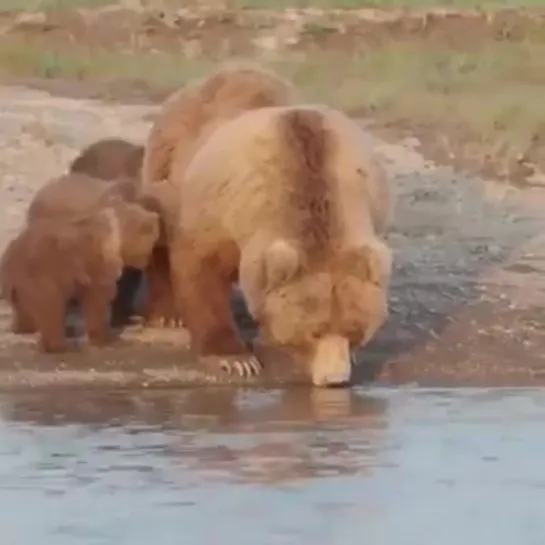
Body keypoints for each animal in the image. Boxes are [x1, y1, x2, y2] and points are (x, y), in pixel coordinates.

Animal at [0, 203, 160, 352]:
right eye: (151, 245)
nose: (147, 261)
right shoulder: (100, 260)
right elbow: (98, 296)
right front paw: (108, 339)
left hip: (18, 283)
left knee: (24, 309)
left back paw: (23, 330)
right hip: (39, 272)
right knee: (51, 305)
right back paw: (61, 346)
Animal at [169, 104, 392, 386]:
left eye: (355, 332)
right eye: (314, 332)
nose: (335, 380)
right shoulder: (219, 209)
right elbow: (202, 268)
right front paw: (236, 359)